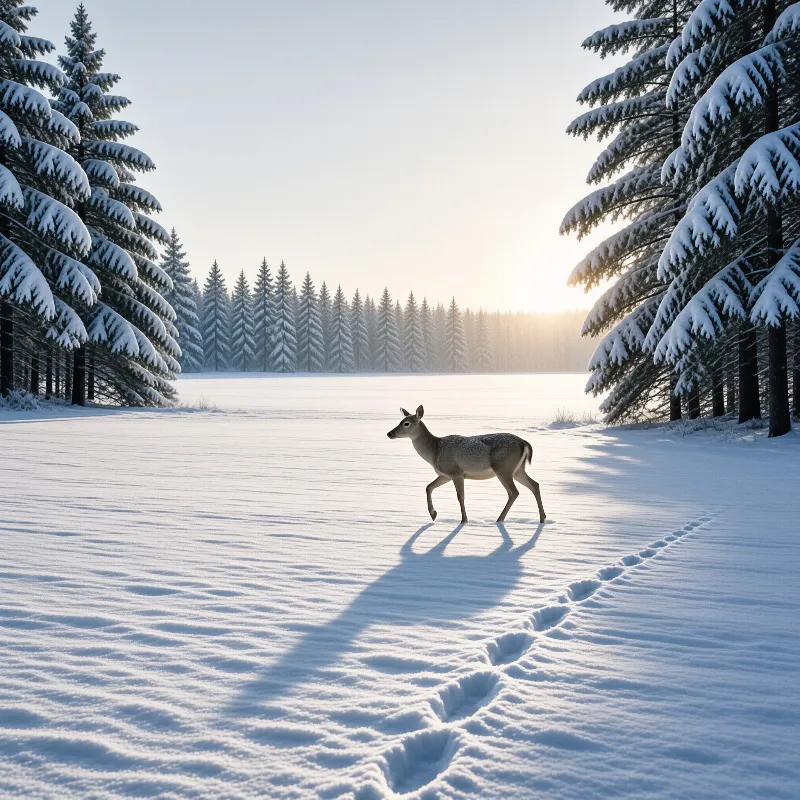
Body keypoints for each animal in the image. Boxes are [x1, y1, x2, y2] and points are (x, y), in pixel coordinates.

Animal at [387, 406, 546, 525]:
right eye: (400, 420)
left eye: (406, 423)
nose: (389, 433)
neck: (435, 451)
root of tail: (524, 443)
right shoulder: (445, 474)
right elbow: (428, 487)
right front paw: (433, 514)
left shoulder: (455, 471)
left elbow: (460, 496)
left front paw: (463, 520)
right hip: (518, 469)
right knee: (534, 484)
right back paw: (542, 518)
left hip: (503, 467)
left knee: (514, 492)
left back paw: (499, 519)